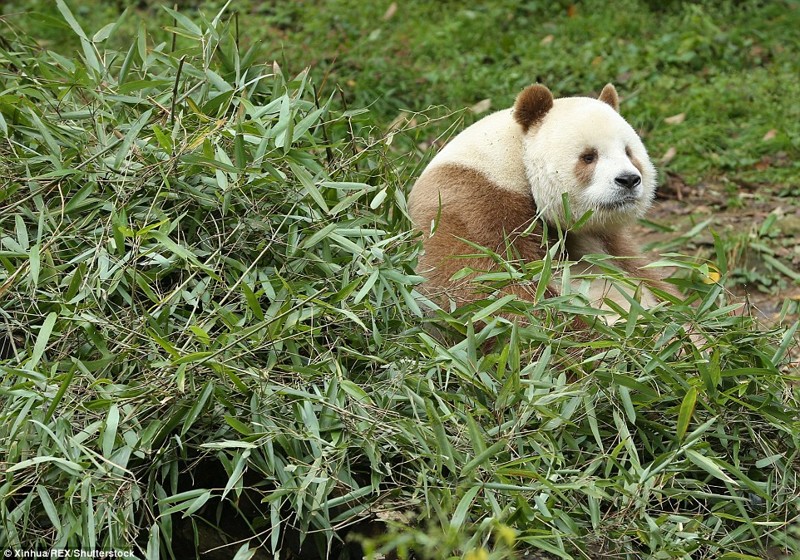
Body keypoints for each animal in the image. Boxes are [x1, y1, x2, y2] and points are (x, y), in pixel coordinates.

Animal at [410, 85, 672, 318]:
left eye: (629, 153)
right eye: (589, 156)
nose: (628, 180)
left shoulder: (605, 239)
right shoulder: (475, 207)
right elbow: (489, 289)